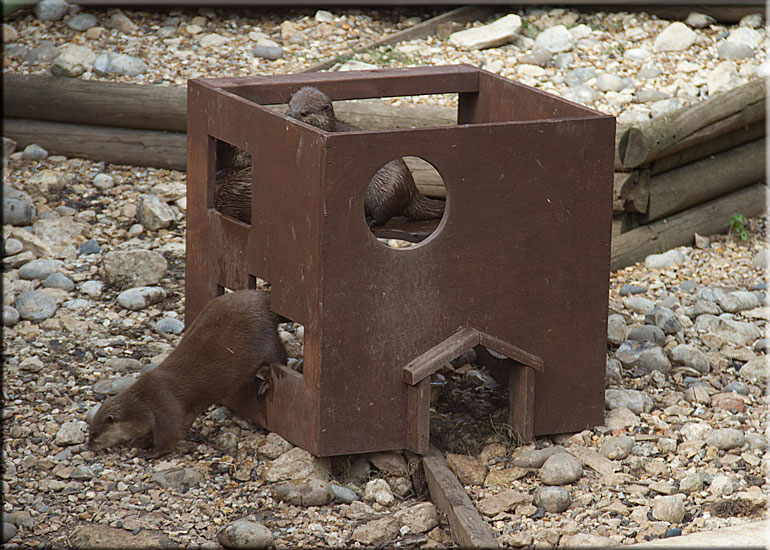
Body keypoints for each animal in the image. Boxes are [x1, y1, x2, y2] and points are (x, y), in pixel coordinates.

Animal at [88, 290, 287, 457]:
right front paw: (139, 441)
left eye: (95, 434)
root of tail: (263, 299)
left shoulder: (166, 410)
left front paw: (149, 452)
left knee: (281, 358)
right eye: (90, 432)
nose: (88, 446)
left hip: (267, 339)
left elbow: (169, 438)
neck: (143, 405)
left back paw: (266, 383)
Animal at [214, 86, 445, 226]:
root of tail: (411, 188)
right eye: (289, 106)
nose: (290, 116)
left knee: (384, 214)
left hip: (389, 188)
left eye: (304, 113)